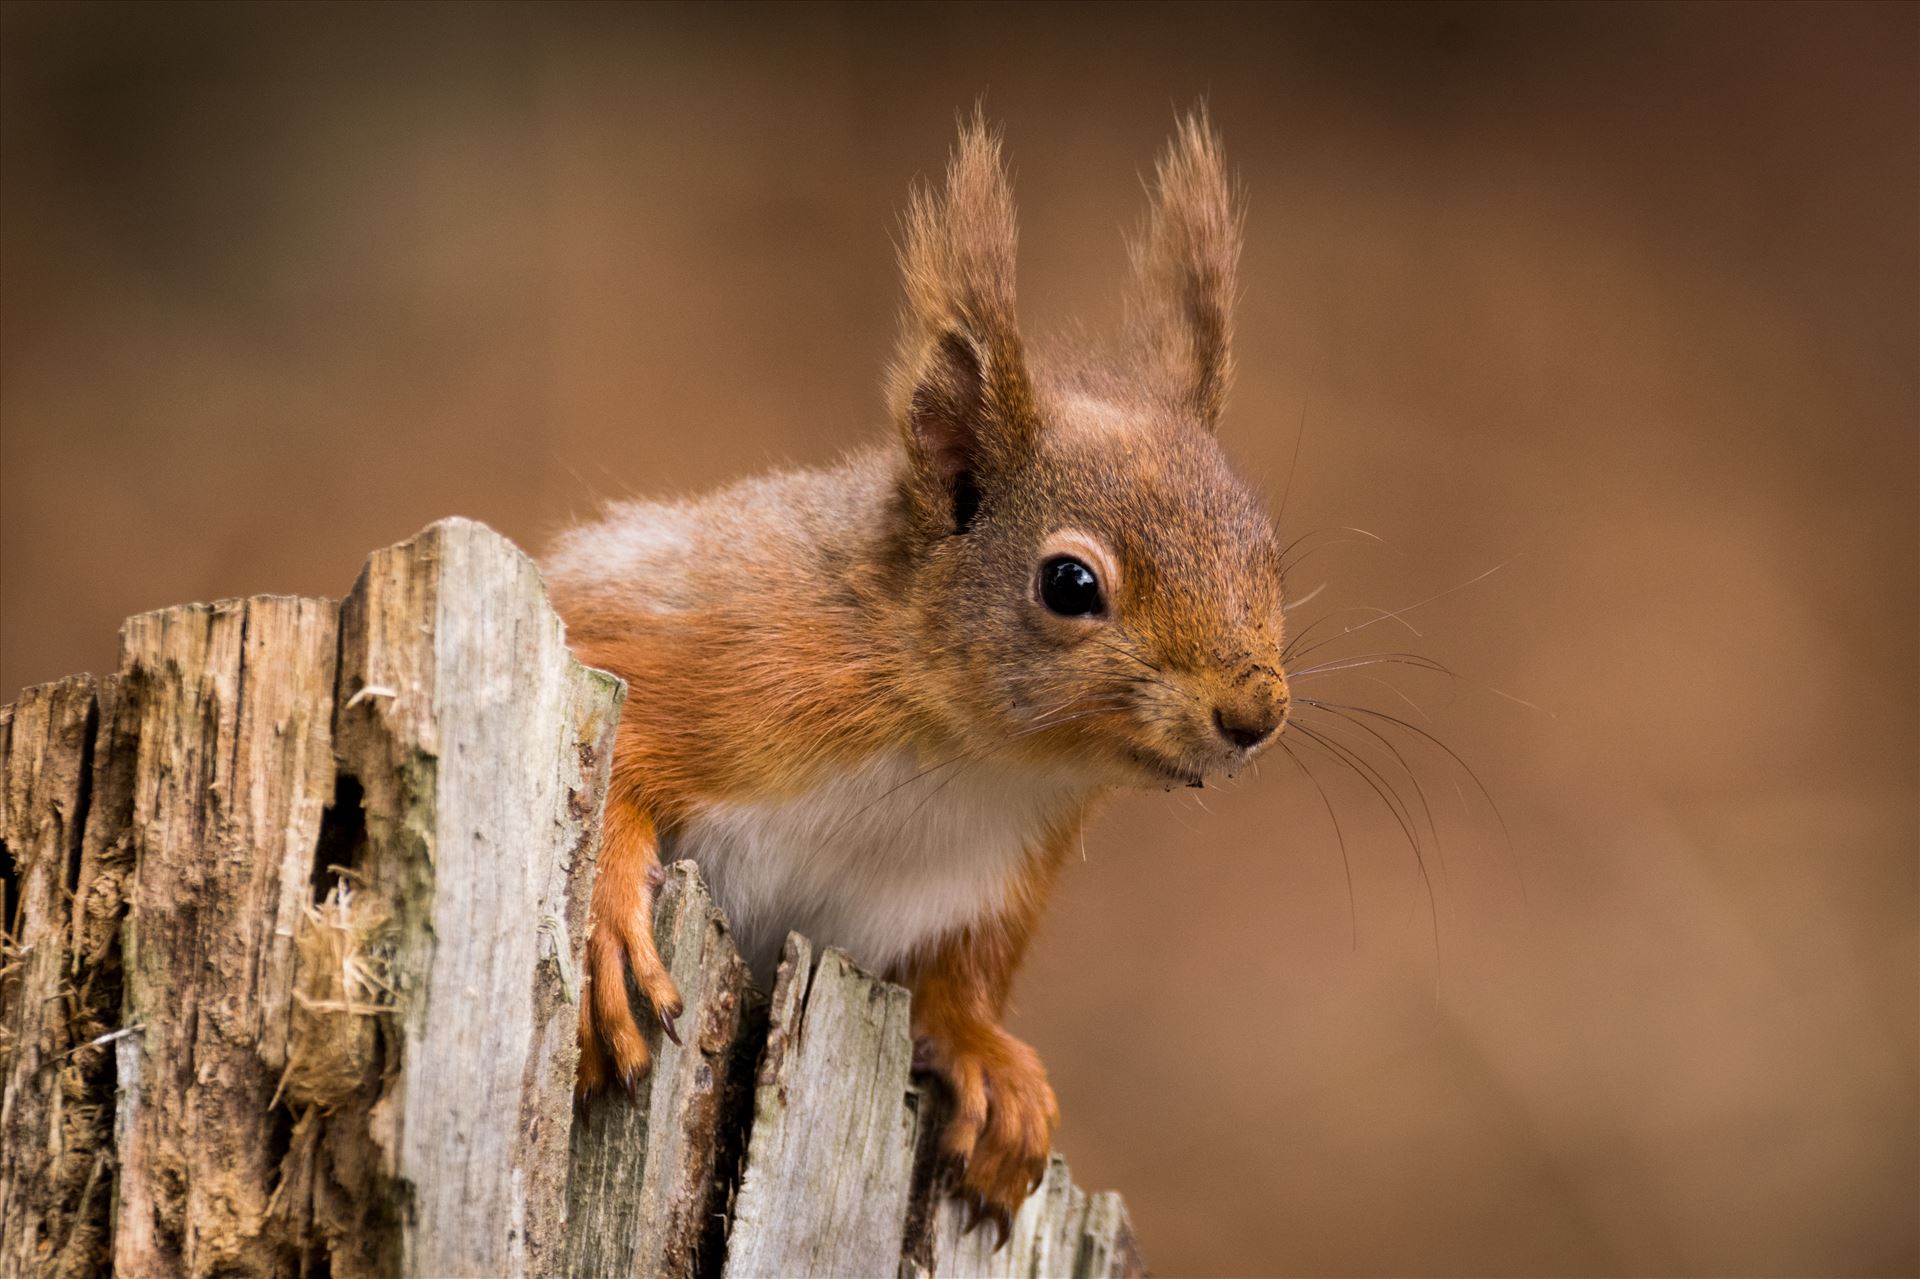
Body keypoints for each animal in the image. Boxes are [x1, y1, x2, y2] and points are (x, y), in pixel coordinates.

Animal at [541, 109, 1290, 1229]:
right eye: (1069, 582)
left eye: (1268, 550)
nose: (1255, 711)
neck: (965, 759)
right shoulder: (714, 652)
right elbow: (613, 750)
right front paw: (606, 925)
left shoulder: (986, 884)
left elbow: (962, 981)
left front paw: (991, 1062)